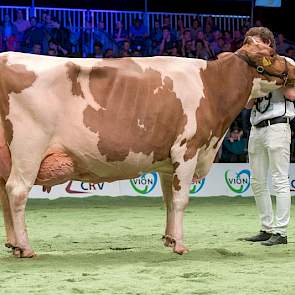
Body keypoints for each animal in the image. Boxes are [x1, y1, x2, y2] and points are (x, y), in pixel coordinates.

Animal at [0, 40, 295, 258]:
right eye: (272, 53)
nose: (293, 66)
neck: (212, 86)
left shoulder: (167, 162)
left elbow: (169, 201)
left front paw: (169, 238)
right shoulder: (187, 151)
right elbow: (181, 200)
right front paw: (180, 246)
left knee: (5, 196)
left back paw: (13, 245)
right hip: (29, 149)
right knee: (17, 192)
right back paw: (25, 248)